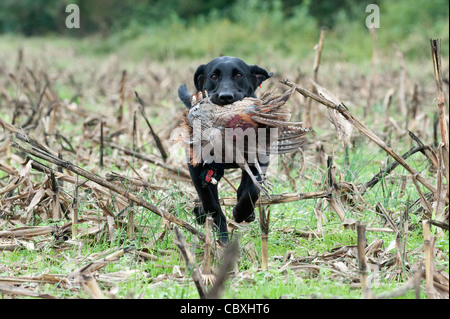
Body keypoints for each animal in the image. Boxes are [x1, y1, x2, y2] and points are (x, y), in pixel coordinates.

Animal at [178, 56, 270, 244]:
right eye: (213, 76)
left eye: (238, 75)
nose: (225, 97)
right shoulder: (195, 167)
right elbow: (211, 203)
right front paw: (222, 238)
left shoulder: (261, 158)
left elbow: (251, 189)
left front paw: (242, 212)